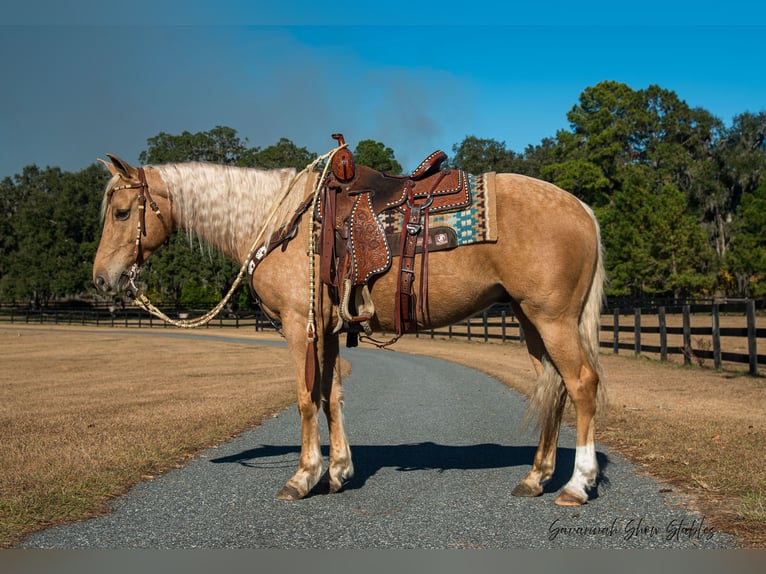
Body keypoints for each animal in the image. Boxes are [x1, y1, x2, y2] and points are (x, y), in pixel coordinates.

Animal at [93, 150, 608, 508]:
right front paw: (338, 471)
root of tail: (582, 209)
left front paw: (302, 477)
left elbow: (306, 398)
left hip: (553, 319)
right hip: (530, 319)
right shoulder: (328, 330)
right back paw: (536, 478)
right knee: (555, 387)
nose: (102, 279)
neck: (283, 222)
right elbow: (331, 395)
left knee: (582, 384)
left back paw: (577, 485)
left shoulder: (300, 326)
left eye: (121, 212)